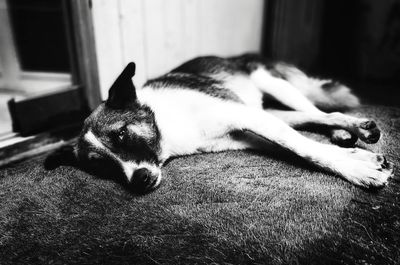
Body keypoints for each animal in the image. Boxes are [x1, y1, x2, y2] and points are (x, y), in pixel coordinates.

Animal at [71, 53, 394, 192]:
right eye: (99, 166)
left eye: (122, 134)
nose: (139, 181)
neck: (166, 126)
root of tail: (239, 56)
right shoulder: (245, 133)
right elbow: (296, 146)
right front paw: (357, 159)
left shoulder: (246, 117)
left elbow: (305, 149)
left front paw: (358, 170)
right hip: (269, 110)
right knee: (319, 116)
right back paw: (345, 133)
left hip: (273, 85)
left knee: (321, 110)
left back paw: (351, 128)